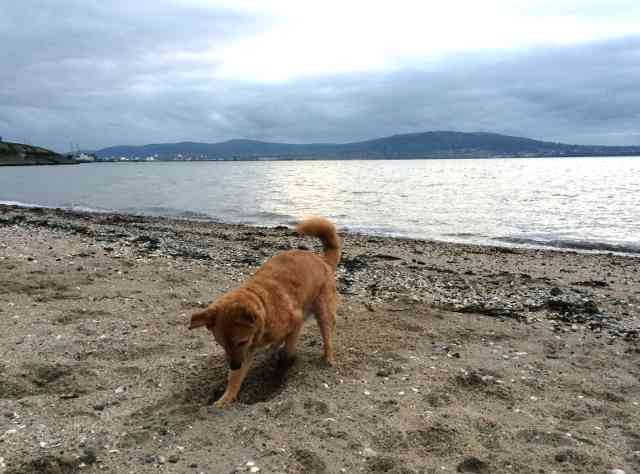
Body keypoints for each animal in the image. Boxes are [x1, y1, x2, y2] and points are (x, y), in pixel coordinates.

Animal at [189, 217, 340, 406]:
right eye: (221, 343)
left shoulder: (294, 323)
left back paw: (328, 358)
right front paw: (225, 399)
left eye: (241, 341)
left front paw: (284, 364)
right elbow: (235, 380)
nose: (234, 366)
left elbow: (289, 349)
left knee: (327, 336)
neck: (263, 304)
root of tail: (322, 260)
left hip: (323, 311)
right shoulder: (244, 353)